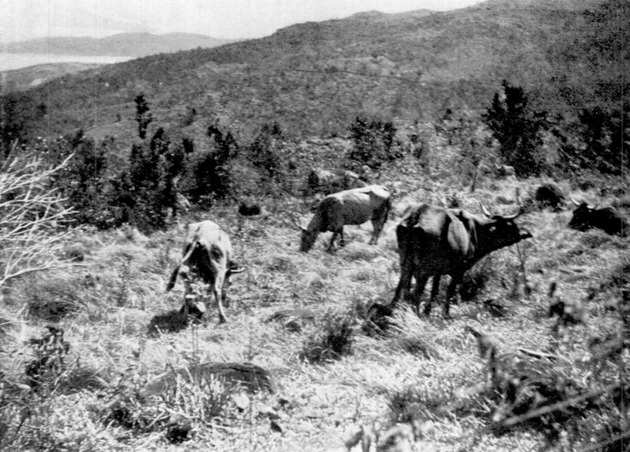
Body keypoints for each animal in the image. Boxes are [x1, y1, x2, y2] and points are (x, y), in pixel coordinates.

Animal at [392, 203, 536, 316]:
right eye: (511, 225)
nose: (526, 233)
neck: (477, 231)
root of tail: (416, 216)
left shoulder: (438, 271)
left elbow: (434, 290)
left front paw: (427, 312)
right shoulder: (459, 270)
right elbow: (449, 290)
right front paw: (445, 314)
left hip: (405, 262)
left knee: (401, 286)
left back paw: (392, 310)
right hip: (423, 269)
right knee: (415, 292)